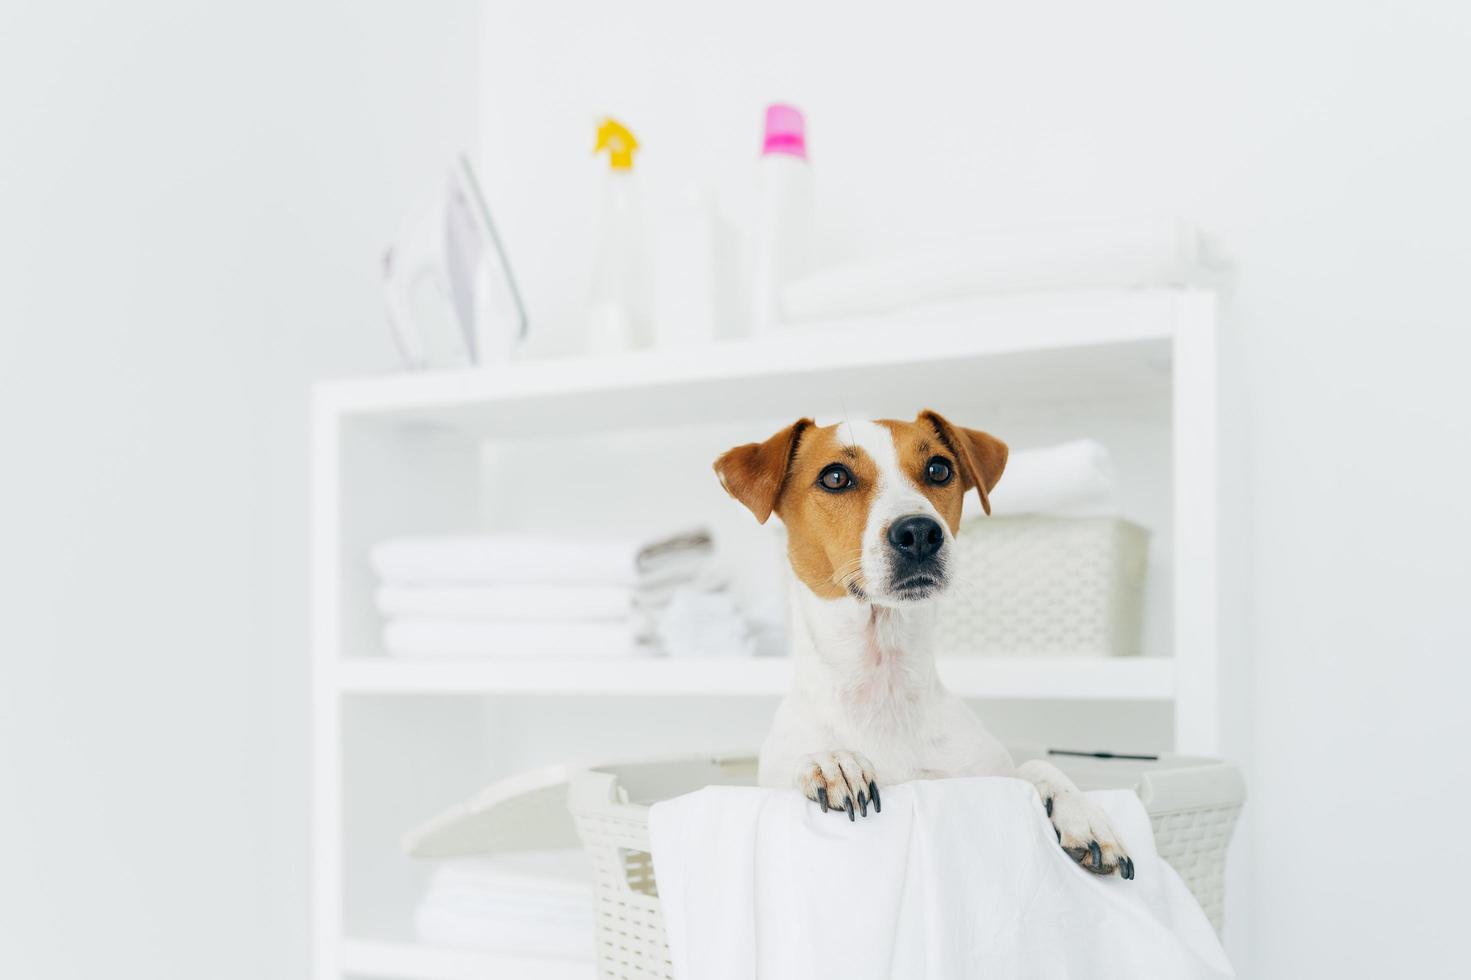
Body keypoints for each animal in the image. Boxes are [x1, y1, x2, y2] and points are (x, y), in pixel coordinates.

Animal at [711, 409, 1135, 871]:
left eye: (938, 469)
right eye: (835, 477)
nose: (918, 532)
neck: (884, 682)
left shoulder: (982, 772)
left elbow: (1034, 766)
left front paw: (1080, 811)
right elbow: (808, 760)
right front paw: (833, 761)